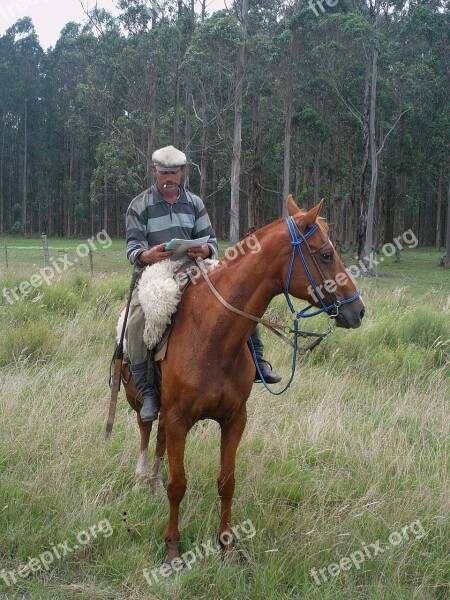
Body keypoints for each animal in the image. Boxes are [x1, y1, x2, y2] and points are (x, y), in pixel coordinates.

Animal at [120, 197, 366, 564]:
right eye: (325, 254)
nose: (358, 310)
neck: (212, 334)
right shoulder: (179, 419)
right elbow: (178, 485)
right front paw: (173, 548)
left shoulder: (235, 418)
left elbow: (227, 481)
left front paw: (227, 544)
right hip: (140, 402)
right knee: (146, 430)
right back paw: (141, 479)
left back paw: (152, 480)